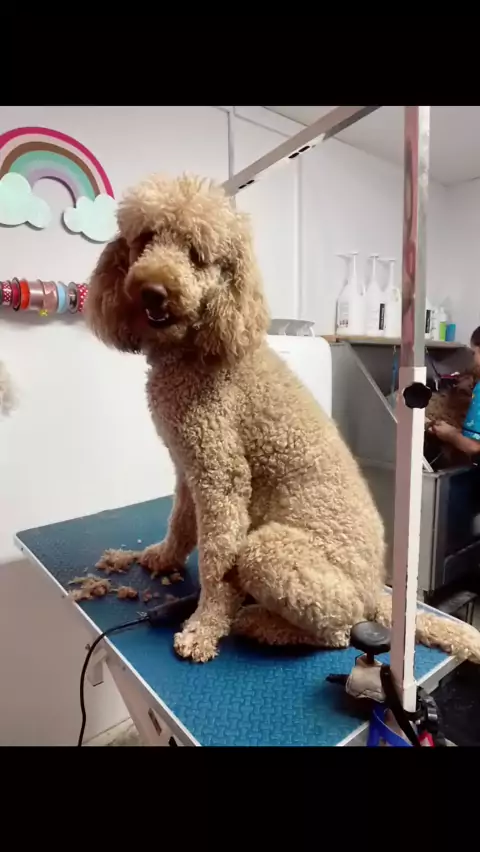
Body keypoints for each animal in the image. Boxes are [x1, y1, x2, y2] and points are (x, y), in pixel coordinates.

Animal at [86, 173, 480, 664]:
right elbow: (179, 522)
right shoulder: (188, 466)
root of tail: (375, 591)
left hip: (268, 552)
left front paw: (203, 628)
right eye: (144, 240)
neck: (197, 349)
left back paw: (256, 623)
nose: (153, 291)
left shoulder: (220, 474)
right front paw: (164, 558)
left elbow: (216, 562)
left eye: (197, 254)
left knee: (338, 633)